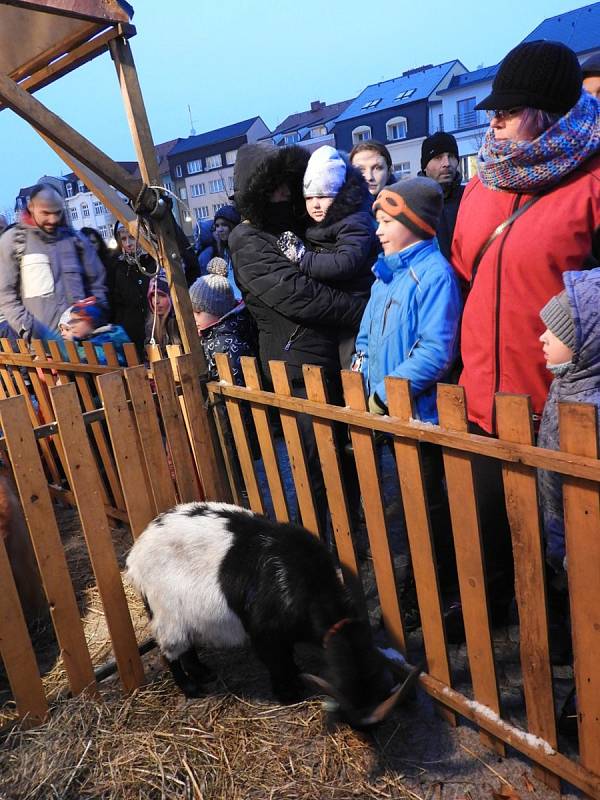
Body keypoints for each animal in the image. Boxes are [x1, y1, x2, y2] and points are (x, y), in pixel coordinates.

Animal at [124, 504, 420, 728]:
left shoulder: (283, 633)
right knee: (170, 652)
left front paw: (295, 677)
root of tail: (135, 554)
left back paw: (204, 673)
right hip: (165, 612)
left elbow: (287, 656)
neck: (310, 584)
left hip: (183, 614)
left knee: (187, 648)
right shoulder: (265, 632)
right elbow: (276, 662)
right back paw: (191, 688)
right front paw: (288, 693)